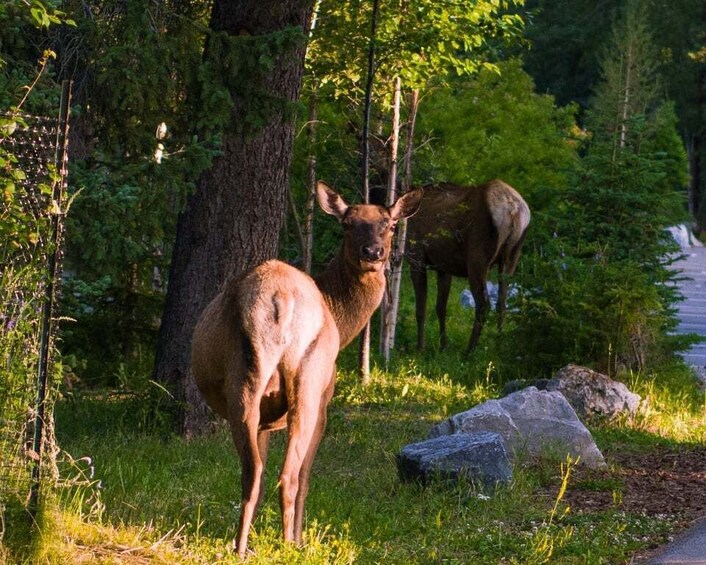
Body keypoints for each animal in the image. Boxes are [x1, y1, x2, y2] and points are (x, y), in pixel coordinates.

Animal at [190, 181, 420, 556]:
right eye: (347, 224)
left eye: (389, 224)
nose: (373, 252)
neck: (341, 318)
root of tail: (281, 299)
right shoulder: (326, 401)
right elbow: (307, 476)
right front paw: (298, 537)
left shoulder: (267, 420)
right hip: (309, 382)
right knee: (291, 475)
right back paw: (289, 545)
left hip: (248, 380)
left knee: (253, 471)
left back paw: (240, 546)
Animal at [402, 180, 528, 352]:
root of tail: (512, 210)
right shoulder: (444, 267)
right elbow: (440, 307)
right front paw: (443, 346)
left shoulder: (416, 257)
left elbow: (421, 310)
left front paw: (420, 349)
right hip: (512, 257)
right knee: (502, 302)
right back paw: (499, 344)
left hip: (477, 259)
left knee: (484, 304)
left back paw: (469, 351)